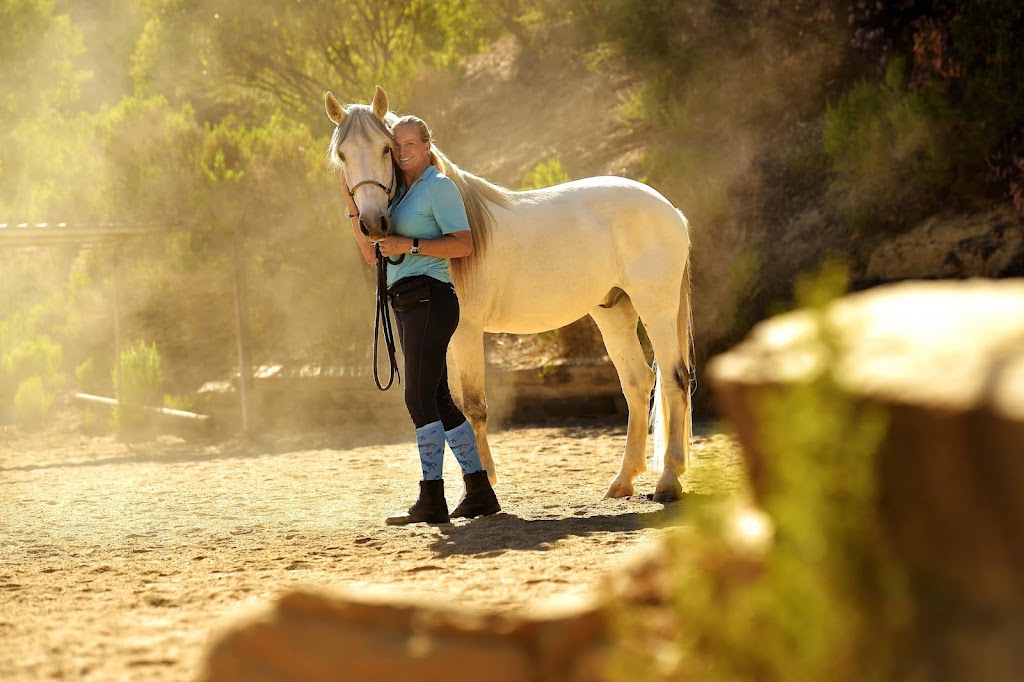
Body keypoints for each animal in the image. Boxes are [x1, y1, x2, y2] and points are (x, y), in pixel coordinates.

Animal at [325, 86, 696, 499]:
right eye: (343, 155)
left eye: (386, 149)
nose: (374, 224)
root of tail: (670, 209)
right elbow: (451, 403)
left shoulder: (467, 332)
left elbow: (473, 406)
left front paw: (482, 483)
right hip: (614, 312)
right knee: (638, 383)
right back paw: (623, 480)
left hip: (656, 310)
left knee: (675, 380)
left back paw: (668, 479)